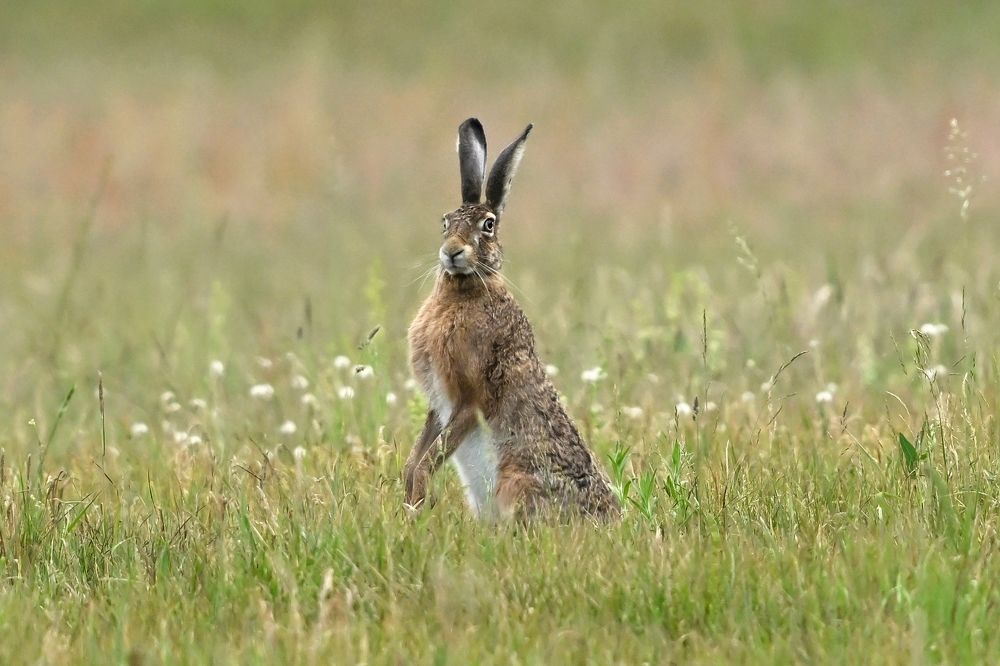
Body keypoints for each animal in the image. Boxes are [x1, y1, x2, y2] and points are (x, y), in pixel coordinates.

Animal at [403, 118, 621, 522]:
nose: (451, 252)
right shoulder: (439, 404)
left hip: (516, 481)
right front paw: (409, 505)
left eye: (488, 225)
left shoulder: (468, 398)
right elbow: (414, 459)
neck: (464, 290)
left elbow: (427, 461)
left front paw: (417, 507)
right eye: (445, 222)